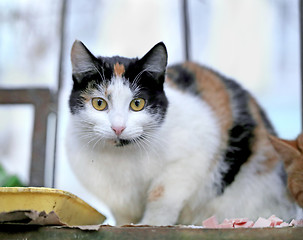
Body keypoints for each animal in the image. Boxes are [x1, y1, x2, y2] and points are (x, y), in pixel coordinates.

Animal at [66, 40, 296, 226]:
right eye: (99, 103)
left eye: (137, 104)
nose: (118, 128)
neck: (121, 157)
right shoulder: (116, 197)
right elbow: (123, 213)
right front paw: (124, 226)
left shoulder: (192, 155)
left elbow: (162, 196)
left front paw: (150, 224)